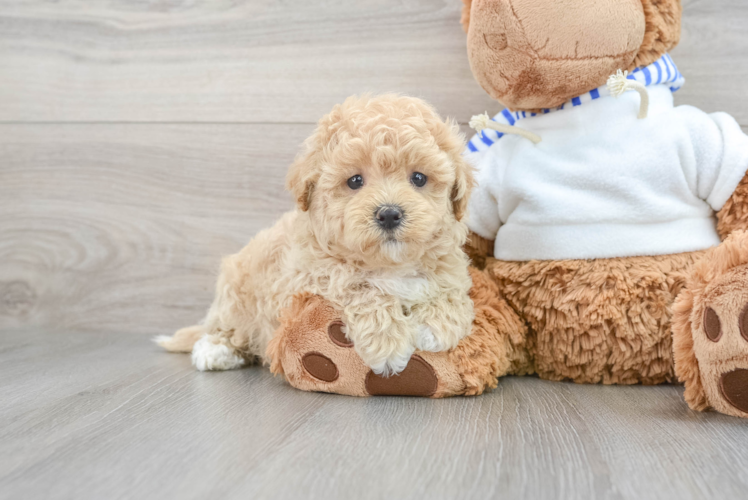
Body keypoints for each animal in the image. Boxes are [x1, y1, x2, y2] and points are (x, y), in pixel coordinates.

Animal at [155, 94, 476, 376]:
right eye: (355, 181)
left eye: (419, 178)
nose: (388, 214)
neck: (388, 264)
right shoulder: (309, 279)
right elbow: (362, 289)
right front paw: (388, 345)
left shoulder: (451, 268)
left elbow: (449, 291)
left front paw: (434, 326)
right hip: (235, 293)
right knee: (224, 330)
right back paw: (215, 350)